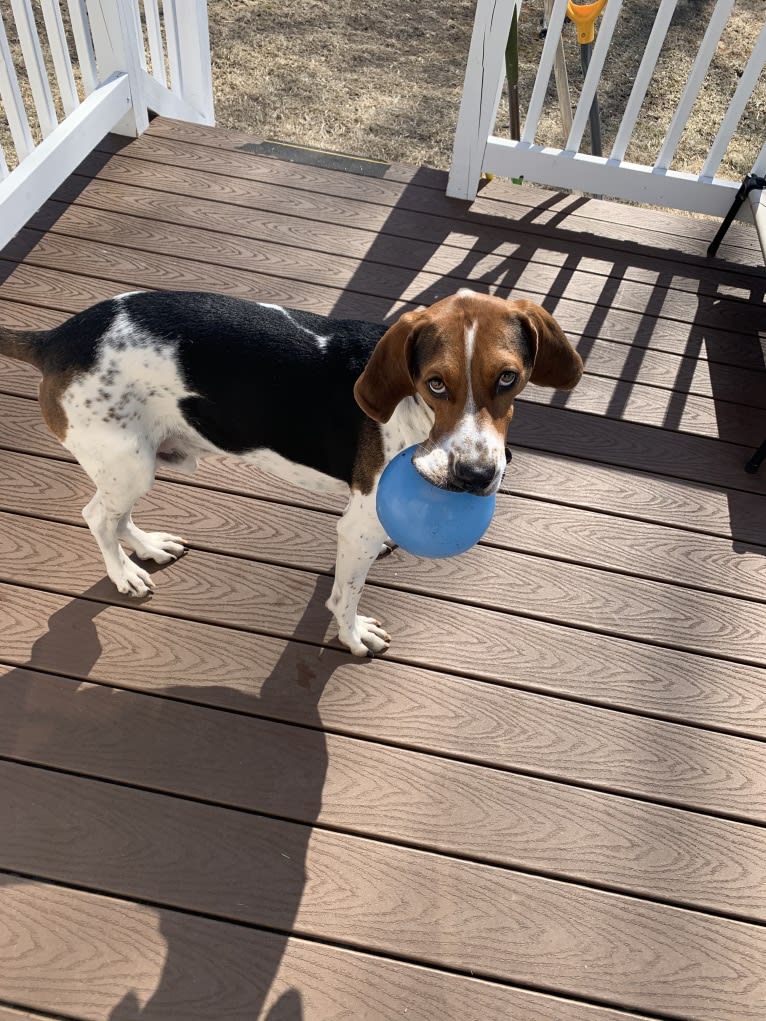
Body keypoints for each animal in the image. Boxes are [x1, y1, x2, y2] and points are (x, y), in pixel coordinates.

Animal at [0, 287, 580, 653]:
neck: (413, 412)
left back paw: (146, 548)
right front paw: (353, 637)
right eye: (435, 383)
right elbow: (345, 596)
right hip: (128, 464)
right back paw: (124, 574)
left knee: (116, 517)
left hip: (133, 465)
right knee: (97, 516)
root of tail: (59, 336)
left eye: (508, 378)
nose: (475, 477)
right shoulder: (357, 527)